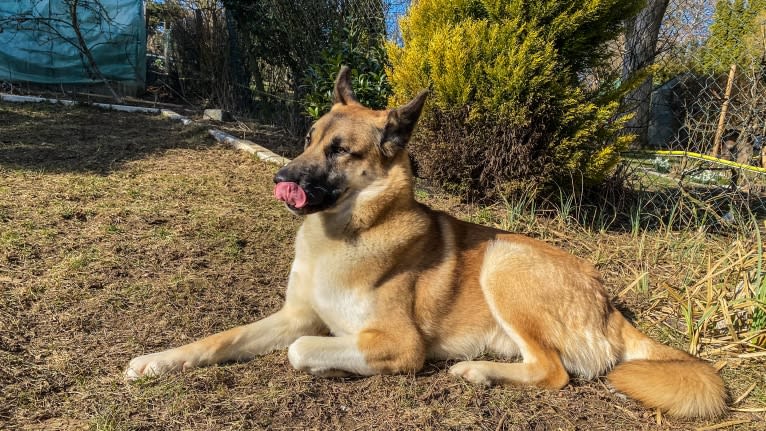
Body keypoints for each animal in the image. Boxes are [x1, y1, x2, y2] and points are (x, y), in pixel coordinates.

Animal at [127, 66, 732, 418]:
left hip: (504, 260)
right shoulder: (295, 315)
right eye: (308, 139)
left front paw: (330, 365)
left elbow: (303, 351)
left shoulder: (396, 342)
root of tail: (609, 306)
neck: (347, 234)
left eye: (340, 150)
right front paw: (157, 361)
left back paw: (476, 372)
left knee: (555, 372)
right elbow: (221, 339)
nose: (281, 179)